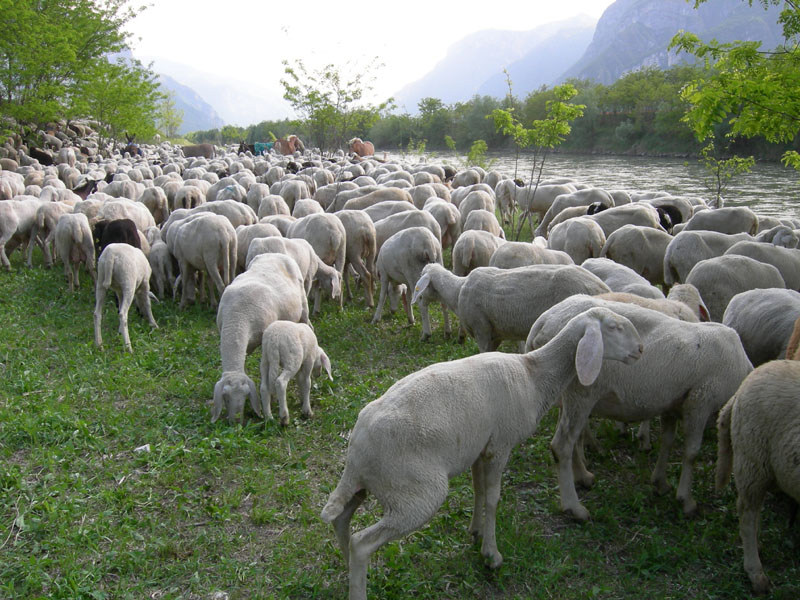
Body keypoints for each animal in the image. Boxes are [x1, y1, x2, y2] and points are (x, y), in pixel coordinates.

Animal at [212, 251, 310, 424]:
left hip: (303, 305)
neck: (237, 317)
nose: (236, 421)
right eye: (226, 398)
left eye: (246, 396)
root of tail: (275, 253)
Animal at [322, 308, 640, 600]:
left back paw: (348, 570)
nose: (639, 350)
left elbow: (477, 491)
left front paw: (475, 531)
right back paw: (358, 582)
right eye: (614, 327)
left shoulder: (478, 448)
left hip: (372, 484)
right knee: (361, 543)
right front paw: (491, 554)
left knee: (341, 520)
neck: (533, 375)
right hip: (414, 492)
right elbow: (493, 498)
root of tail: (356, 449)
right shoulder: (501, 444)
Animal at [528, 296, 752, 520]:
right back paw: (574, 507)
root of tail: (543, 321)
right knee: (562, 444)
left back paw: (583, 476)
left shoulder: (672, 404)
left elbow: (667, 441)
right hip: (582, 392)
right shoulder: (700, 402)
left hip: (568, 393)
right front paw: (686, 500)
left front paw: (660, 482)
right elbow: (691, 453)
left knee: (573, 439)